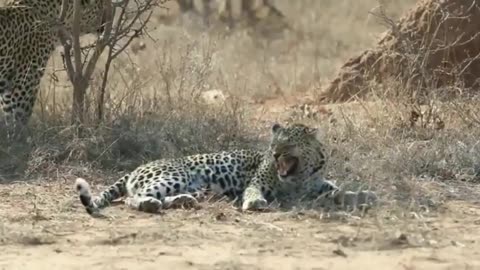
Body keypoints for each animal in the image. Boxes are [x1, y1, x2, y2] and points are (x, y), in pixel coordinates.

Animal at [75, 123, 376, 217]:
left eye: (289, 143)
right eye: (273, 144)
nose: (275, 154)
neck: (300, 175)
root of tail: (138, 167)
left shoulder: (319, 185)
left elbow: (338, 190)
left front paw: (364, 195)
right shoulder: (260, 182)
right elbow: (254, 192)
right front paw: (254, 203)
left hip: (194, 186)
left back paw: (184, 201)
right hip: (175, 175)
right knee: (132, 198)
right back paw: (150, 204)